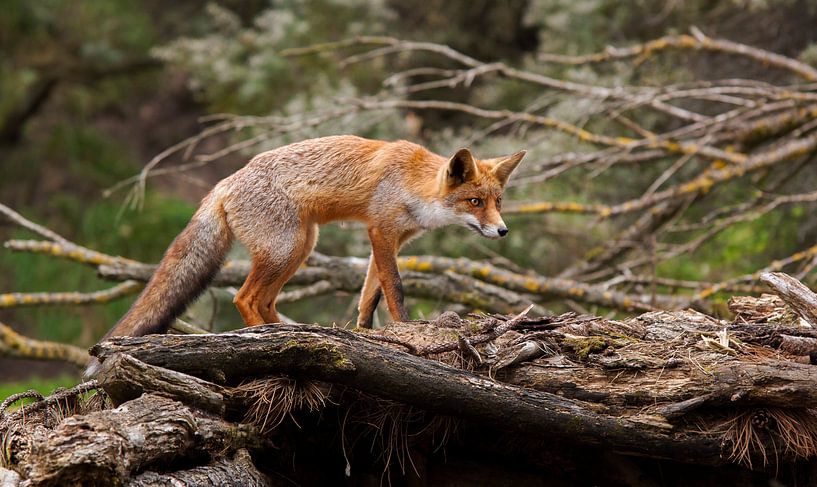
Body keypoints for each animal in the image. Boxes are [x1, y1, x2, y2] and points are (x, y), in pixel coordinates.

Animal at [85, 135, 525, 376]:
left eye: (497, 202)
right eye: (474, 202)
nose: (503, 230)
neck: (414, 184)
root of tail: (225, 183)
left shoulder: (391, 241)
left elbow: (369, 295)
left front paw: (366, 332)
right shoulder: (381, 231)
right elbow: (395, 288)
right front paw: (406, 331)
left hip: (300, 246)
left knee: (264, 300)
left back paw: (291, 335)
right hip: (286, 247)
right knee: (244, 297)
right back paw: (262, 339)